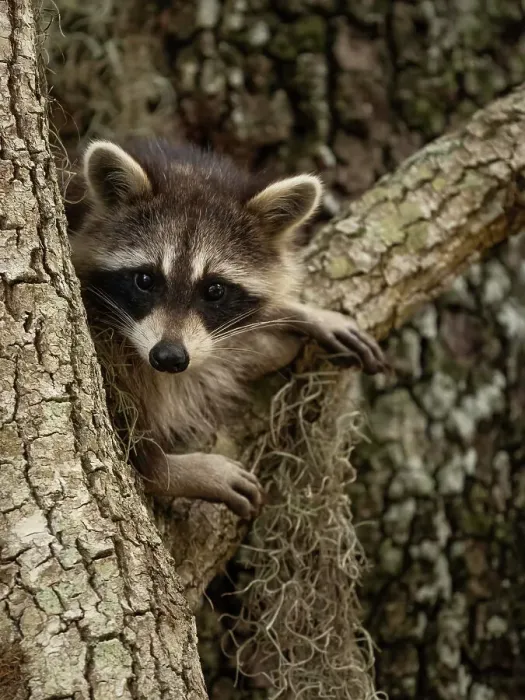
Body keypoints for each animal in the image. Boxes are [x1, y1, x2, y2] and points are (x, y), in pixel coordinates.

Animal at [66, 138, 386, 518]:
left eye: (215, 290)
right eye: (144, 280)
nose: (169, 357)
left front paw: (298, 312)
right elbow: (124, 402)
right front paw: (168, 471)